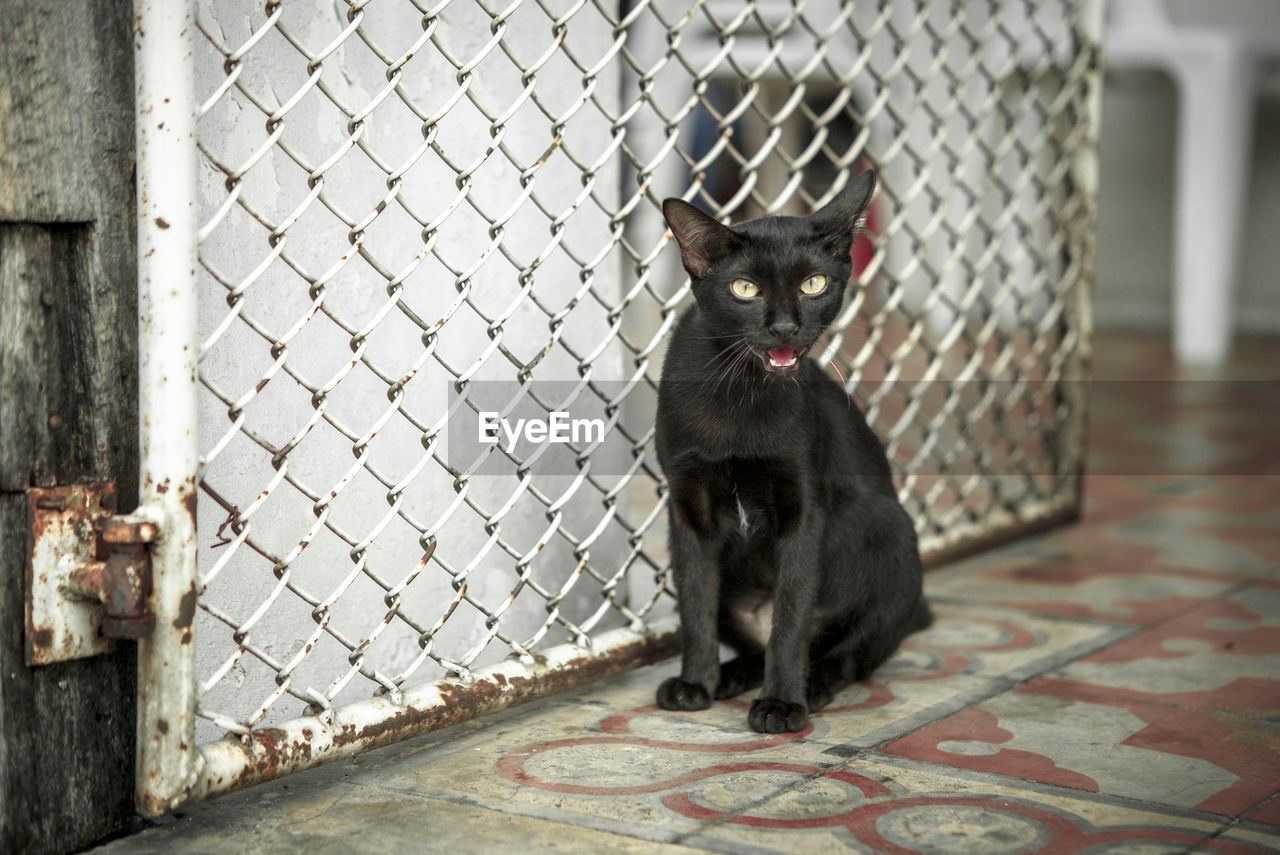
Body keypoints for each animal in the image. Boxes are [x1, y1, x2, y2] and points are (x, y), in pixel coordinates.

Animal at [660, 171, 931, 737]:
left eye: (814, 284)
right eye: (745, 288)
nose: (785, 326)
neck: (741, 395)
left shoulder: (803, 508)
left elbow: (790, 617)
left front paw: (783, 703)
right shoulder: (688, 508)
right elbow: (695, 606)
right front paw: (695, 684)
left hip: (891, 530)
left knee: (845, 653)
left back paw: (812, 685)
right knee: (750, 639)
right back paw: (731, 675)